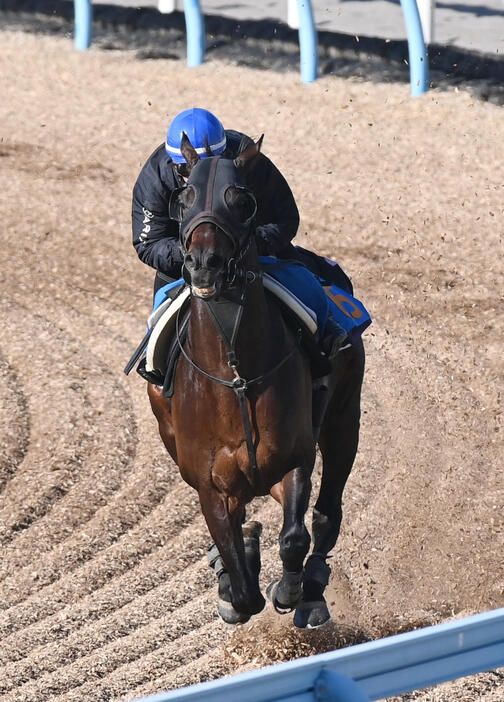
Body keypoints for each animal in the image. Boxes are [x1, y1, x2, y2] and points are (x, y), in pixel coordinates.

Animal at [148, 135, 364, 628]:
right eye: (183, 199)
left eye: (242, 200)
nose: (204, 263)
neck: (236, 376)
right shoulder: (210, 486)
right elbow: (240, 581)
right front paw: (235, 575)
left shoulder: (294, 457)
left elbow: (294, 537)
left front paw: (289, 590)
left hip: (345, 418)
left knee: (327, 514)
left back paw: (312, 589)